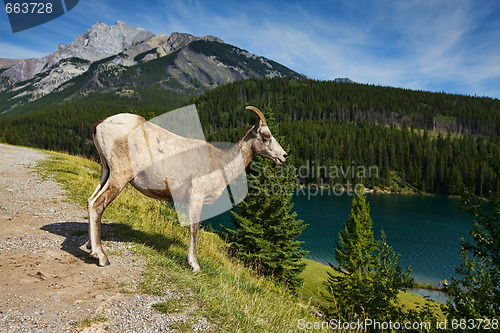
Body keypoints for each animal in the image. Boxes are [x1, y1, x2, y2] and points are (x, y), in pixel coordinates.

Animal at [88, 105, 288, 270]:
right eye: (266, 136)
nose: (284, 156)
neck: (221, 162)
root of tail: (100, 125)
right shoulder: (196, 196)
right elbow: (195, 227)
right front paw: (194, 265)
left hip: (106, 171)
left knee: (91, 201)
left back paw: (91, 248)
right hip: (120, 176)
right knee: (98, 204)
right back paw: (102, 257)